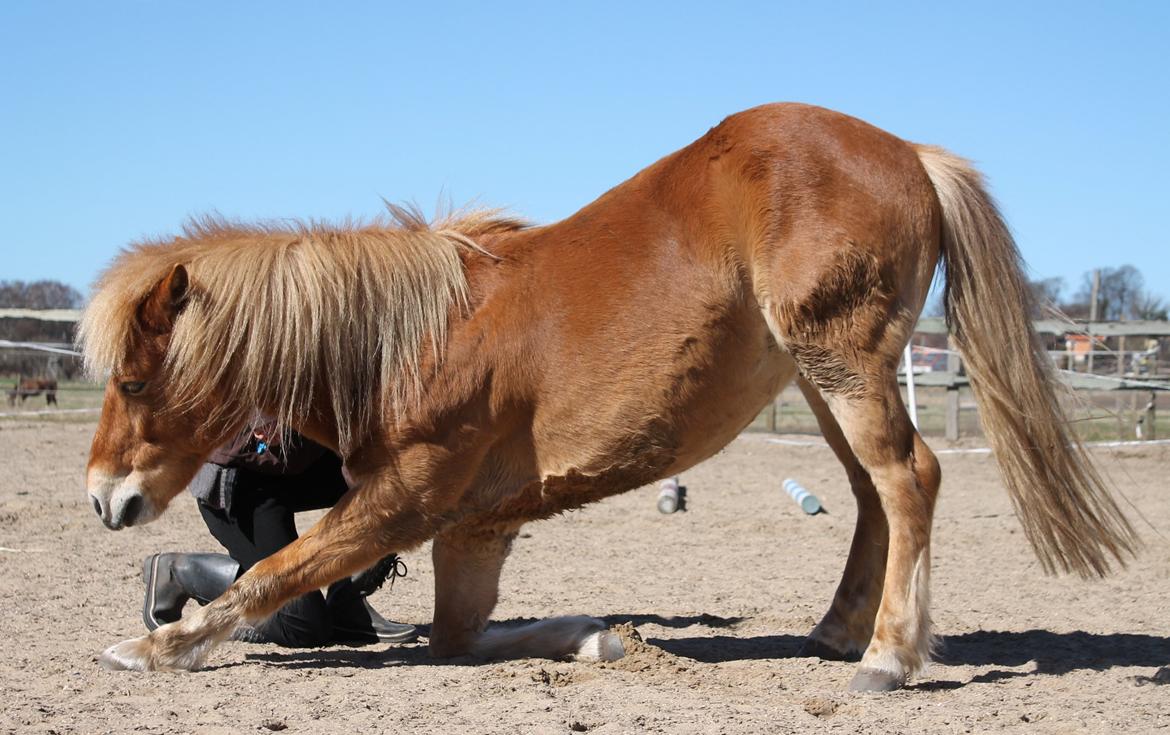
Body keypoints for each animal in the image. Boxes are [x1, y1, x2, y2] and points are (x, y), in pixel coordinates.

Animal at [80, 101, 1132, 688]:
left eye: (133, 378)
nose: (103, 499)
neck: (412, 340)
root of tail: (909, 152)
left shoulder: (404, 501)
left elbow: (273, 572)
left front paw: (156, 649)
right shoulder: (472, 529)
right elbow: (457, 637)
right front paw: (594, 637)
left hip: (844, 362)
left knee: (909, 478)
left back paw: (887, 657)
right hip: (823, 378)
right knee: (875, 492)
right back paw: (838, 632)